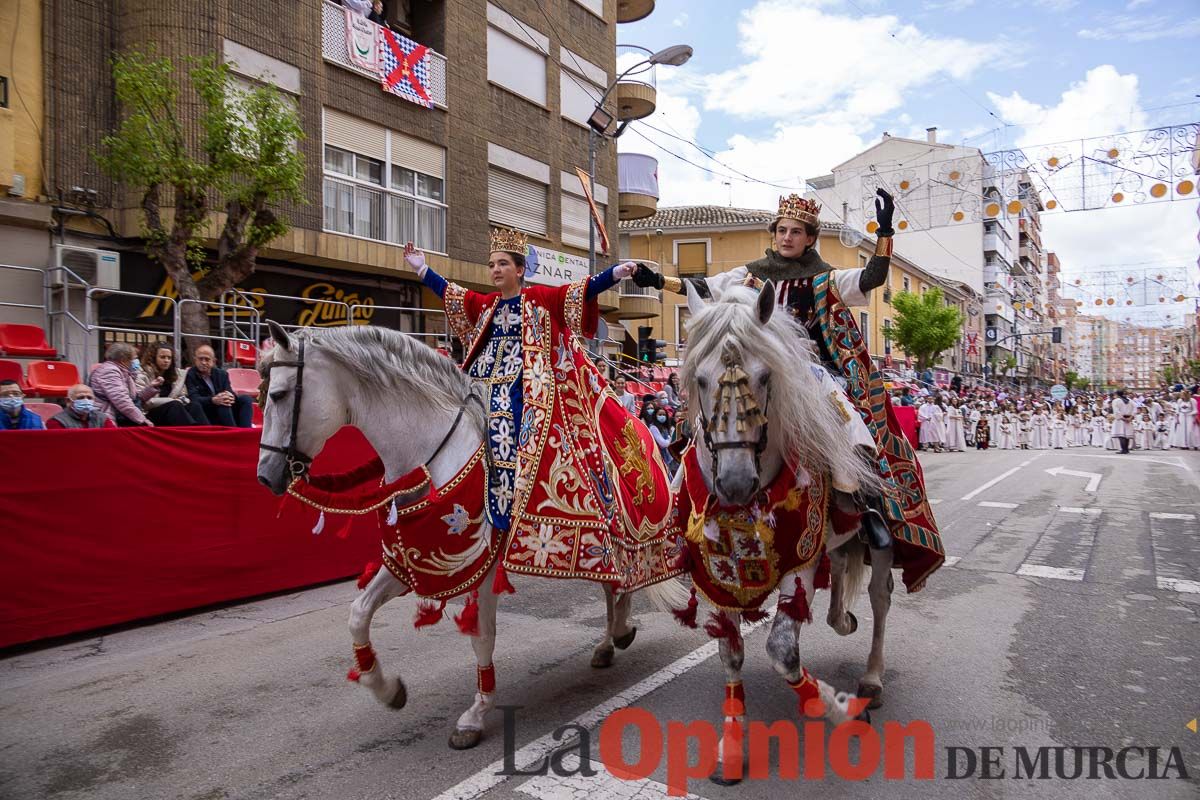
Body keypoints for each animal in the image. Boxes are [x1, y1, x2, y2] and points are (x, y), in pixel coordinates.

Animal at [255, 319, 667, 753]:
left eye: (279, 394)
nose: (265, 475)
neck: (429, 456)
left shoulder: (480, 566)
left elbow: (482, 637)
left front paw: (475, 715)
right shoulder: (408, 561)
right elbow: (358, 614)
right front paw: (387, 689)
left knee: (622, 579)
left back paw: (619, 632)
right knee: (612, 584)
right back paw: (608, 642)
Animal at [681, 283, 897, 786]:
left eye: (764, 377)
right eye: (700, 379)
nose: (734, 483)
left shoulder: (798, 563)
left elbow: (782, 650)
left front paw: (843, 711)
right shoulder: (718, 576)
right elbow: (731, 653)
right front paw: (732, 749)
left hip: (877, 540)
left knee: (879, 597)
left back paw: (871, 679)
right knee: (841, 573)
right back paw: (842, 617)